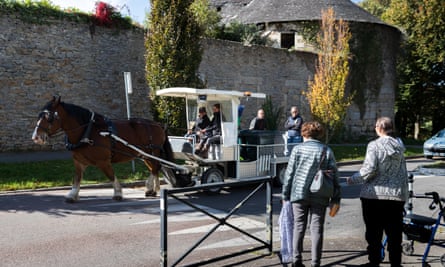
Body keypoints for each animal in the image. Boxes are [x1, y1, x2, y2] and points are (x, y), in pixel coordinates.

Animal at [31, 96, 191, 203]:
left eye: (49, 117)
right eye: (39, 115)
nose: (36, 137)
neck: (87, 131)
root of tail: (157, 124)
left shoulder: (103, 162)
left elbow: (111, 176)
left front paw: (118, 193)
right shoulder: (78, 162)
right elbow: (77, 179)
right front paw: (72, 195)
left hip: (152, 152)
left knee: (156, 167)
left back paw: (152, 188)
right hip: (145, 154)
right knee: (154, 168)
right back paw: (152, 189)